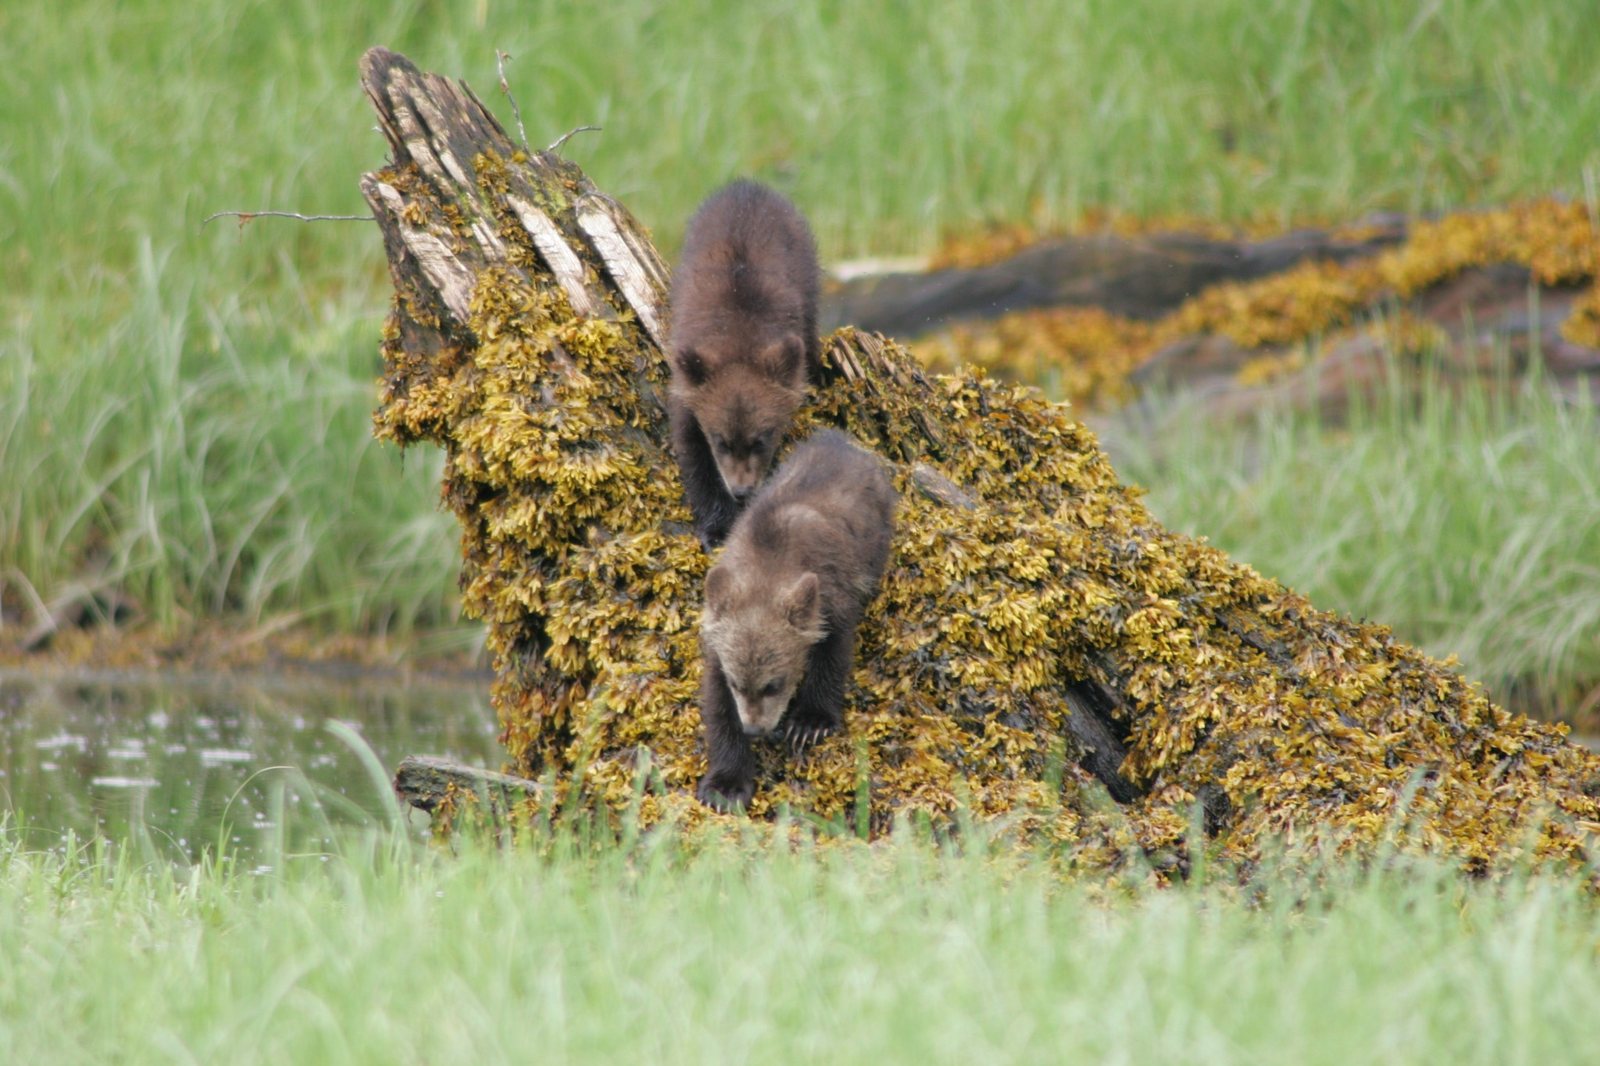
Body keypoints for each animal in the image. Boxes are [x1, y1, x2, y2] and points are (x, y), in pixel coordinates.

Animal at [667, 179, 822, 549]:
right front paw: (715, 528)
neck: (738, 339)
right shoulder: (688, 384)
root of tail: (748, 184)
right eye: (721, 440)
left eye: (761, 439)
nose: (741, 490)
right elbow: (693, 454)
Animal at [695, 428, 896, 812]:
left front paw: (809, 723)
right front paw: (725, 786)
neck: (769, 565)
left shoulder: (831, 596)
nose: (755, 729)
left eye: (774, 683)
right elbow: (717, 703)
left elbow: (832, 654)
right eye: (738, 683)